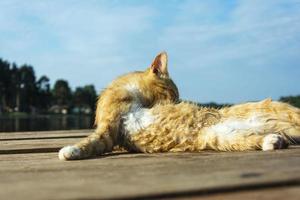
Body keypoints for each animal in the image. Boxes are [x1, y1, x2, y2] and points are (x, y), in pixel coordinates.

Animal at [58, 52, 300, 160]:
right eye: (174, 94)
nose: (177, 102)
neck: (133, 94)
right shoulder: (110, 129)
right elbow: (91, 142)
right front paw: (72, 151)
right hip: (223, 138)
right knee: (259, 139)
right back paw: (274, 141)